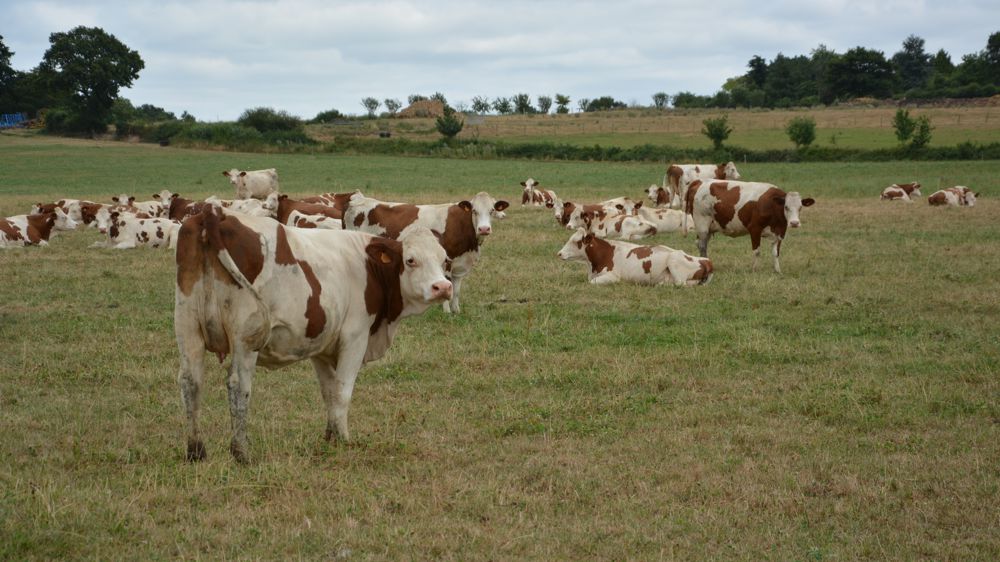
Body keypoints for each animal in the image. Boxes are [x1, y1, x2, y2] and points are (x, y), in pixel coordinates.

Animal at [174, 205, 453, 462]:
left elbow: (328, 391)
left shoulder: (321, 346)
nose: (443, 287)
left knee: (191, 382)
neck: (369, 267)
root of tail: (215, 213)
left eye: (444, 260)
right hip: (246, 336)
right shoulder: (355, 338)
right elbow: (342, 392)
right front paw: (344, 440)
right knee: (238, 386)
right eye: (411, 260)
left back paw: (196, 451)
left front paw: (330, 438)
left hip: (188, 326)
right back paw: (241, 452)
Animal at [345, 191, 509, 313]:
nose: (484, 229)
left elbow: (456, 289)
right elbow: (448, 282)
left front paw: (456, 310)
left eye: (492, 210)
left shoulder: (461, 264)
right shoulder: (447, 260)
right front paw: (447, 311)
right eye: (474, 211)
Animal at [557, 228, 713, 286]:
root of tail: (706, 261)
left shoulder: (613, 277)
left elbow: (591, 282)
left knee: (681, 283)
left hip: (673, 259)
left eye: (576, 242)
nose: (559, 253)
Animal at [687, 179, 815, 274]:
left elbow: (776, 252)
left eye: (800, 208)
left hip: (708, 228)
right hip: (702, 224)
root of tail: (699, 182)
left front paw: (777, 270)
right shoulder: (754, 229)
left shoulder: (779, 232)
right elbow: (757, 251)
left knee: (700, 244)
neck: (771, 205)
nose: (794, 223)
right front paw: (754, 269)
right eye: (786, 207)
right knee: (702, 246)